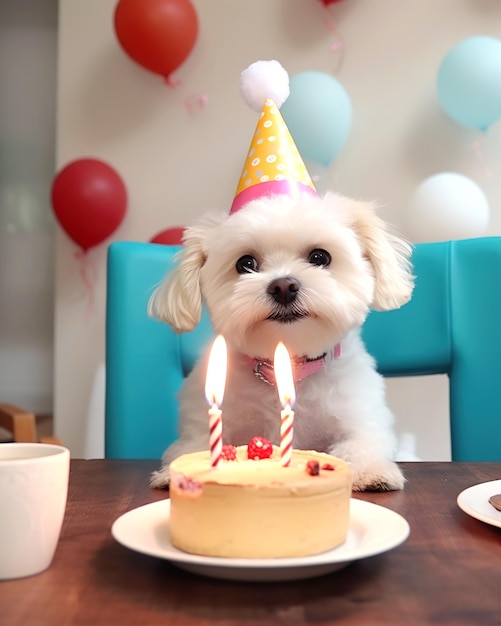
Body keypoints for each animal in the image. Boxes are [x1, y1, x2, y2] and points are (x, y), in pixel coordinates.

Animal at [148, 190, 414, 488]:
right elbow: (193, 446)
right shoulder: (203, 423)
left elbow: (363, 442)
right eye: (246, 263)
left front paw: (369, 471)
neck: (288, 364)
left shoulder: (360, 417)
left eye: (320, 256)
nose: (283, 286)